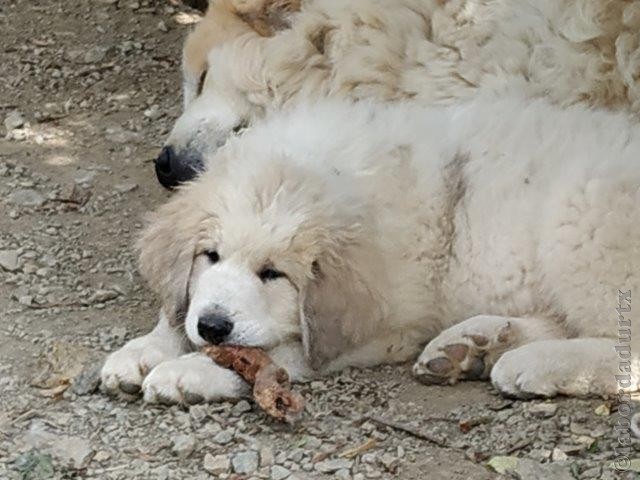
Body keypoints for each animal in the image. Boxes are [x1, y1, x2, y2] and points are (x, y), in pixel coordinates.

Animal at [102, 94, 636, 404]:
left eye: (274, 274)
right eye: (209, 256)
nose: (213, 327)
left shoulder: (387, 327)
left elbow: (282, 352)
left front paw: (188, 372)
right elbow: (176, 311)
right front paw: (145, 350)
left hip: (579, 222)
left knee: (624, 349)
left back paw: (530, 363)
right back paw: (473, 344)